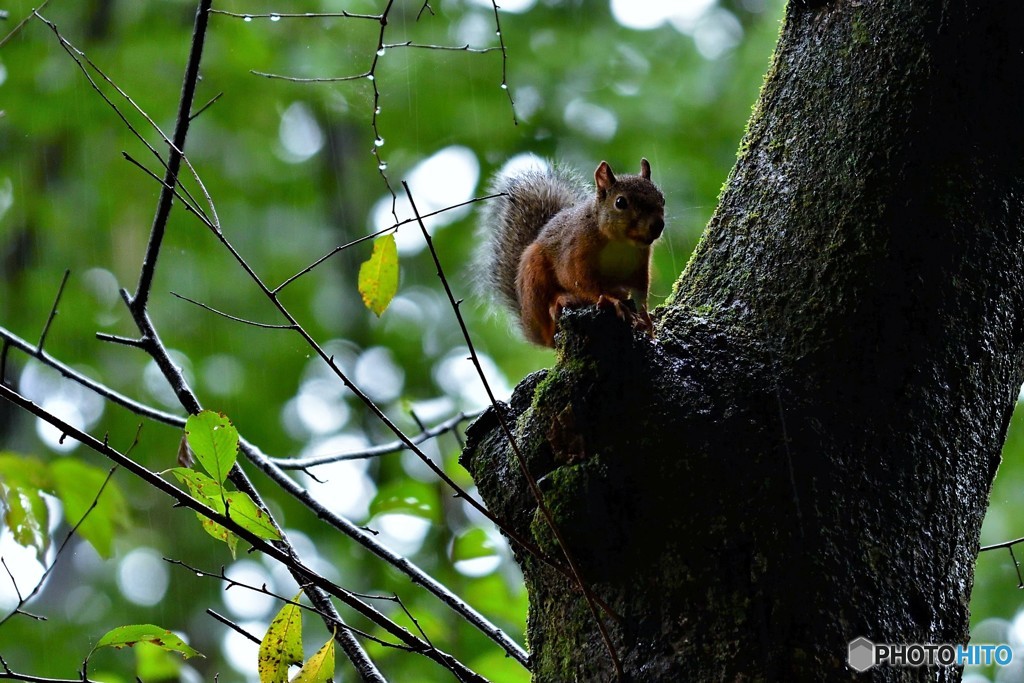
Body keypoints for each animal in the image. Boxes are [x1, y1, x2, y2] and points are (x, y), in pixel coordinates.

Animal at [477, 158, 667, 348]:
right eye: (620, 202)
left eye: (662, 199)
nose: (657, 225)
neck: (619, 242)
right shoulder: (574, 251)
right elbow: (576, 280)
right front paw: (612, 301)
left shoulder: (640, 263)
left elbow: (640, 290)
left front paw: (646, 319)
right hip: (534, 277)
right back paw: (560, 302)